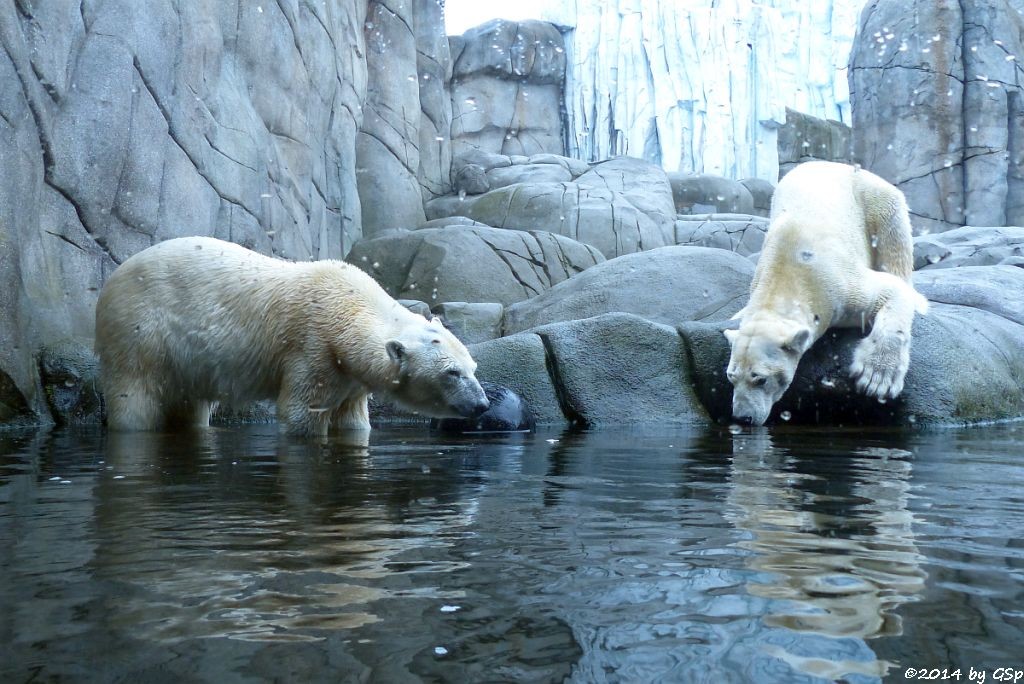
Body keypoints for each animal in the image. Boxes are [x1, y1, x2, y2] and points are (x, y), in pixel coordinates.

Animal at [96, 237, 491, 436]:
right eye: (452, 373)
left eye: (473, 367)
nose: (482, 404)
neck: (349, 305)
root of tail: (113, 278)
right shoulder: (313, 346)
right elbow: (302, 412)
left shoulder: (352, 375)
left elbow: (353, 420)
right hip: (140, 330)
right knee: (135, 396)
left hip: (186, 363)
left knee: (191, 407)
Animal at [729, 162, 929, 423]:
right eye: (731, 376)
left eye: (761, 379)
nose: (742, 418)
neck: (787, 272)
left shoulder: (837, 286)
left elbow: (890, 290)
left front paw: (876, 378)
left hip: (873, 195)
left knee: (893, 234)